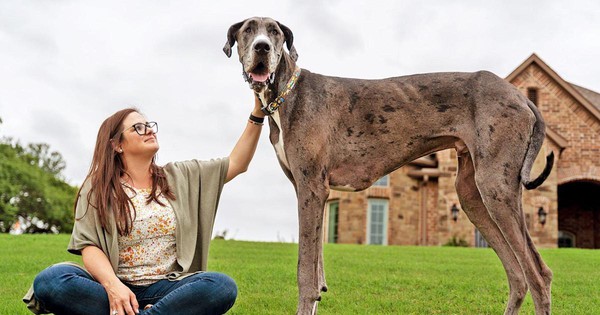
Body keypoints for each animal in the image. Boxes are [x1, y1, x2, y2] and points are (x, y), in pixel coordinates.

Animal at [224, 17, 552, 315]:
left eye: (275, 32)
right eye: (248, 30)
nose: (262, 47)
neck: (288, 92)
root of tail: (522, 97)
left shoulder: (311, 189)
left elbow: (305, 272)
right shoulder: (312, 193)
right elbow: (317, 270)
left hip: (495, 187)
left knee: (538, 274)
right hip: (472, 196)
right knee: (518, 275)